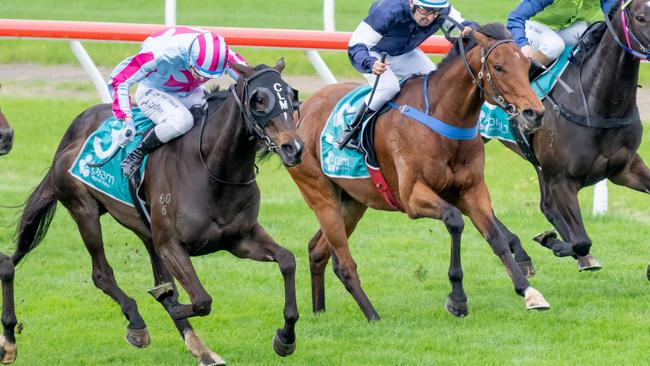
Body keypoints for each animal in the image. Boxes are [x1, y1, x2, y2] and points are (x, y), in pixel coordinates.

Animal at [0, 58, 302, 364]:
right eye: (259, 100)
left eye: (291, 96)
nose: (293, 147)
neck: (213, 171)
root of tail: (75, 129)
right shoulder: (172, 244)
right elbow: (201, 300)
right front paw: (167, 304)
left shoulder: (239, 239)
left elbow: (288, 260)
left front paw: (285, 337)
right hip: (84, 209)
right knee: (101, 274)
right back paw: (136, 323)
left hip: (145, 230)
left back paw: (201, 348)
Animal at [288, 23, 548, 320]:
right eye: (499, 66)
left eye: (527, 65)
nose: (534, 113)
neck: (443, 118)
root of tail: (302, 110)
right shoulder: (413, 196)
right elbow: (454, 220)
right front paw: (457, 298)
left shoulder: (472, 190)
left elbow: (496, 238)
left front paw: (528, 291)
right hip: (321, 196)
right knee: (343, 262)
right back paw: (372, 316)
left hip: (351, 202)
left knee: (317, 250)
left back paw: (319, 310)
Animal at [498, 0, 648, 274]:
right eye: (641, 17)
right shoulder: (562, 179)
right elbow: (581, 241)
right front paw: (554, 242)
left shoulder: (626, 169)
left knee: (546, 205)